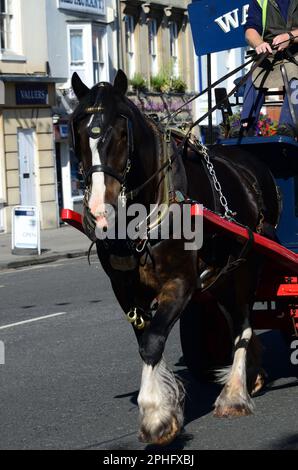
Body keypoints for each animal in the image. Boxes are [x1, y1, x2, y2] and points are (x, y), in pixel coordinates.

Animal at [71, 70, 280, 444]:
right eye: (79, 132)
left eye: (121, 133)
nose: (98, 211)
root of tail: (254, 165)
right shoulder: (125, 290)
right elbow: (145, 340)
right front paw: (163, 409)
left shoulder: (181, 281)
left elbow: (153, 341)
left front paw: (155, 415)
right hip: (223, 274)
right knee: (235, 321)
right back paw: (252, 375)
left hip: (248, 267)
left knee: (242, 324)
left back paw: (234, 394)